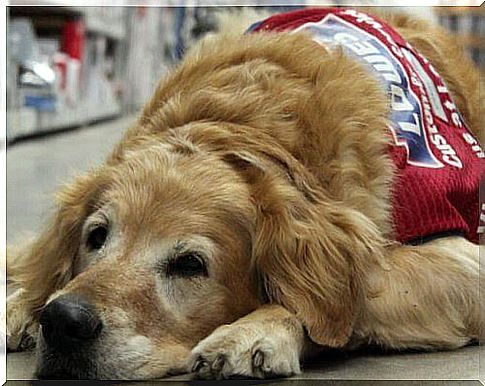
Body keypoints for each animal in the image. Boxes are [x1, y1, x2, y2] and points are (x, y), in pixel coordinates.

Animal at [4, 6, 480, 380]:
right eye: (96, 236)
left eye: (190, 264)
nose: (63, 321)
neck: (245, 128)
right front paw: (26, 304)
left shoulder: (463, 259)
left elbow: (350, 297)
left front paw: (256, 328)